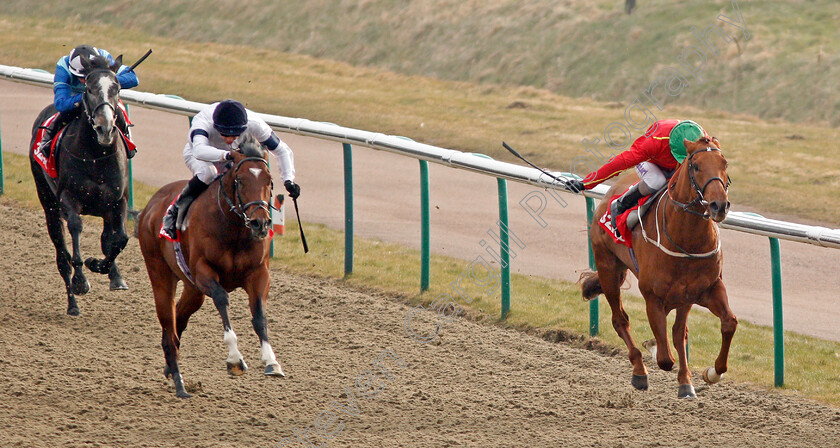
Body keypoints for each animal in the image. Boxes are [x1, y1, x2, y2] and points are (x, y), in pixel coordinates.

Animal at [30, 51, 130, 316]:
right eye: (89, 88)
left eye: (117, 87)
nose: (105, 128)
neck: (96, 155)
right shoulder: (69, 199)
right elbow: (75, 231)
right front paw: (81, 281)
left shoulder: (118, 201)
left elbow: (120, 239)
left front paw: (103, 268)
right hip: (48, 203)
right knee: (61, 256)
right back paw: (72, 304)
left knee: (107, 238)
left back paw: (113, 274)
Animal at [136, 136, 284, 400]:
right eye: (240, 180)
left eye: (269, 181)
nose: (260, 223)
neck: (234, 228)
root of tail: (152, 204)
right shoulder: (204, 271)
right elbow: (222, 299)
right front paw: (235, 359)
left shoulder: (259, 274)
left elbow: (259, 315)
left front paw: (271, 361)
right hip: (160, 273)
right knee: (169, 325)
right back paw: (180, 385)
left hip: (193, 289)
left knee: (179, 319)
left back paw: (169, 367)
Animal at [576, 136, 736, 400]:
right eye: (696, 166)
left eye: (724, 163)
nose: (719, 205)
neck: (686, 239)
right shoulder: (653, 298)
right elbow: (664, 358)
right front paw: (653, 346)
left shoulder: (705, 289)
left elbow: (725, 324)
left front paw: (708, 374)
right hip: (608, 269)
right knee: (620, 320)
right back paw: (639, 371)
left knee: (679, 332)